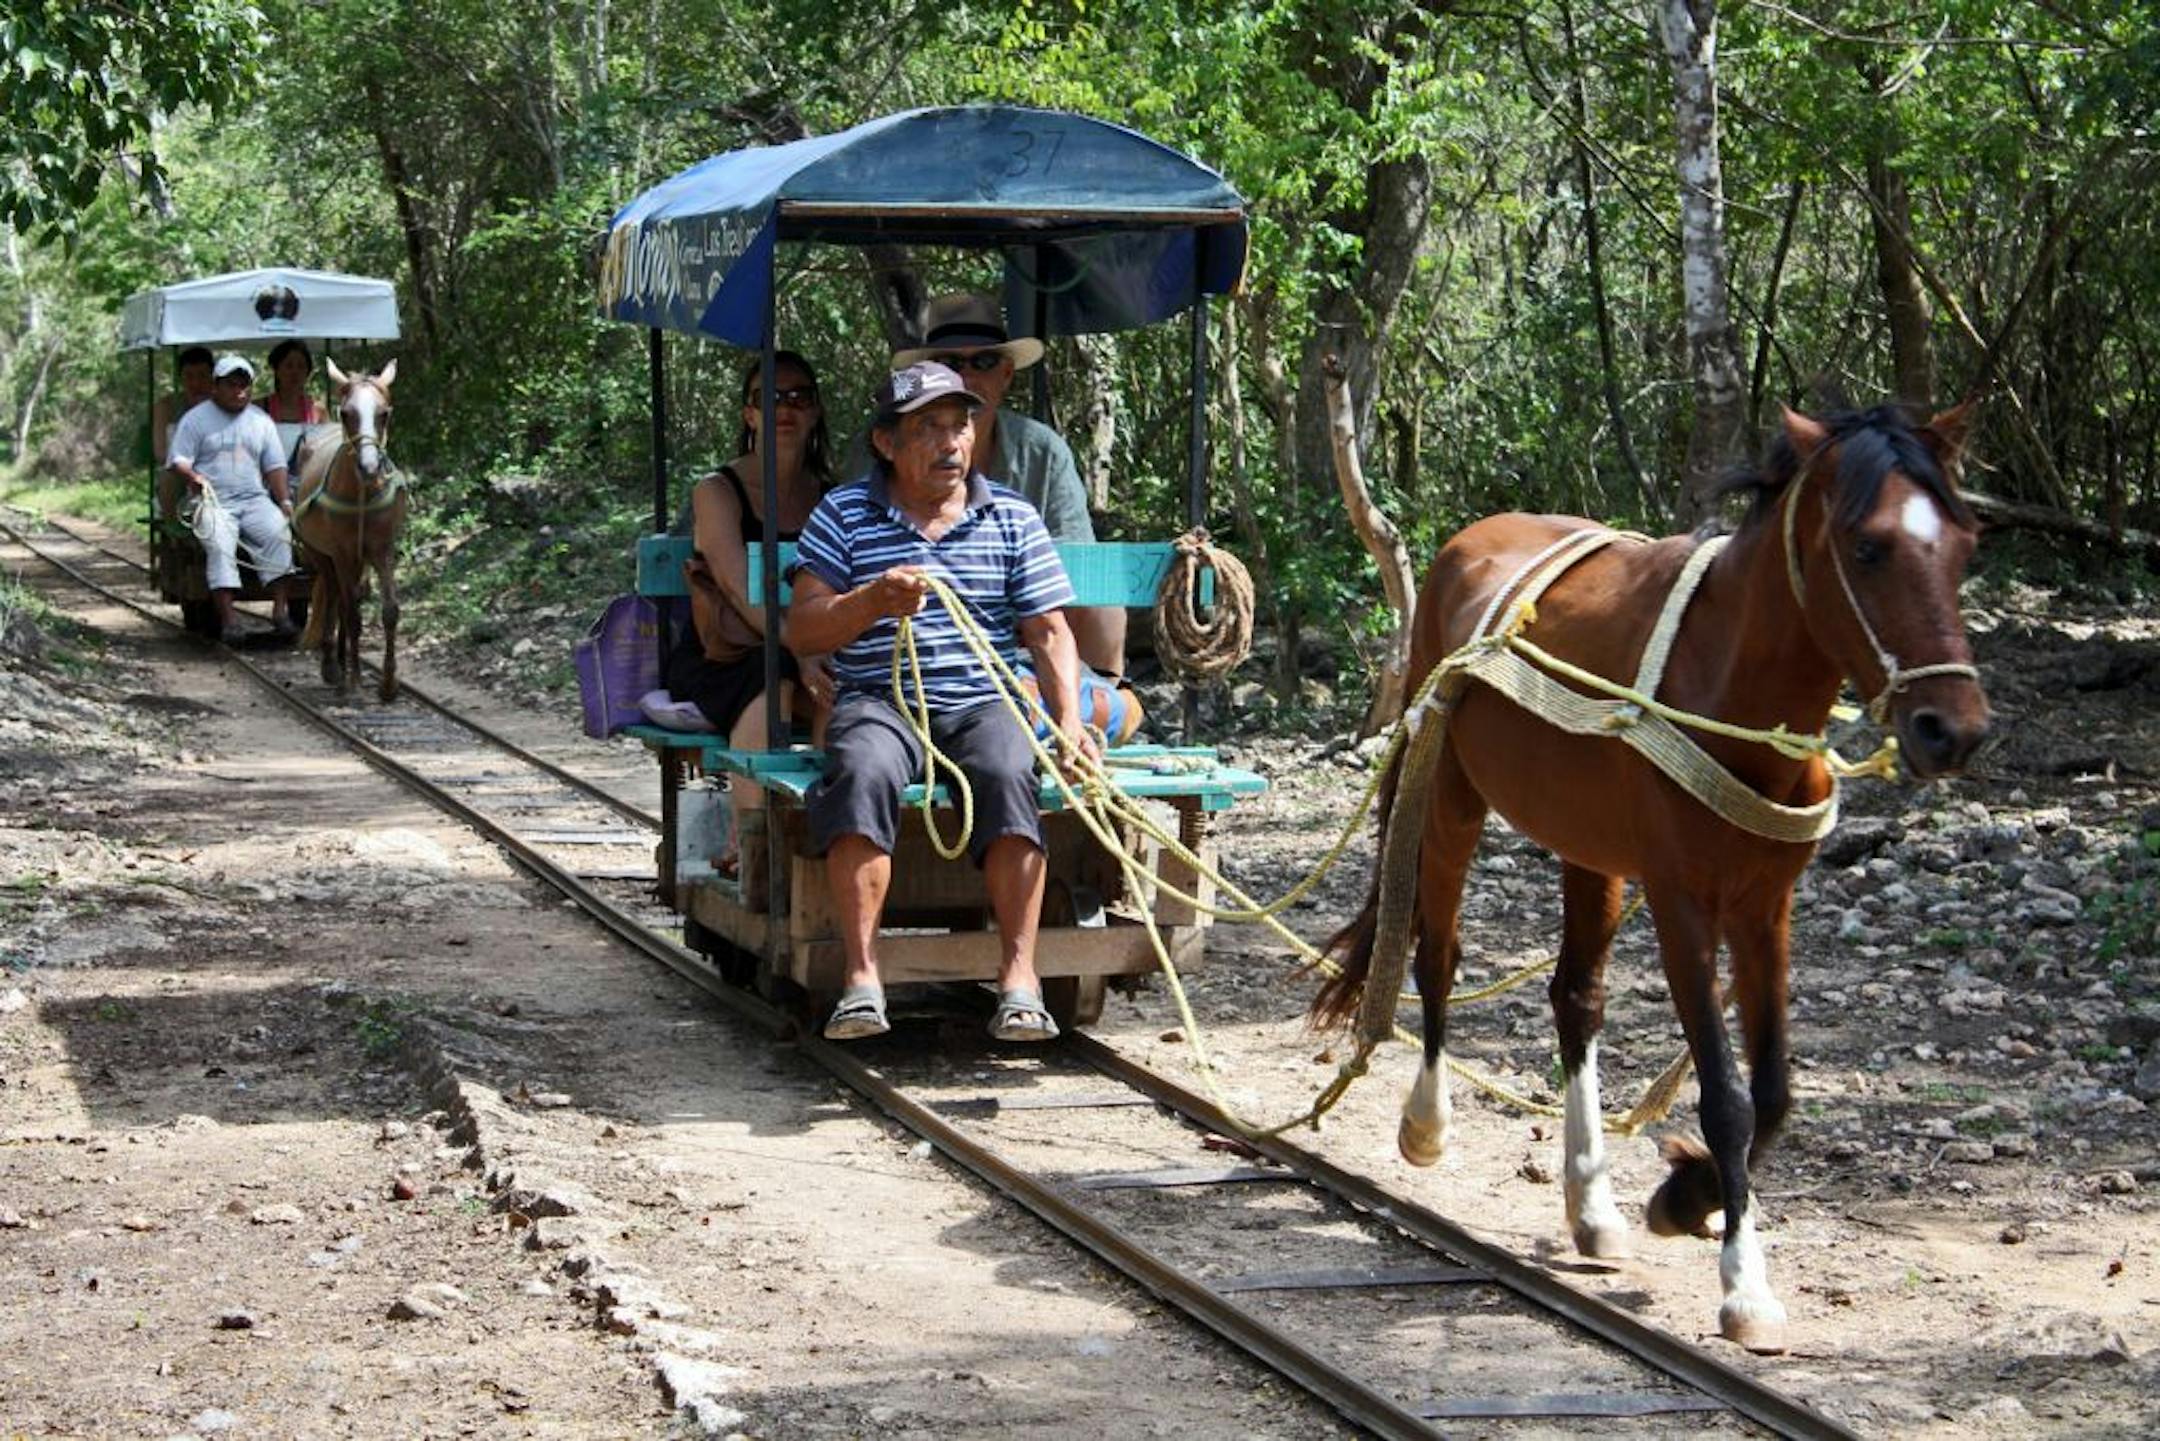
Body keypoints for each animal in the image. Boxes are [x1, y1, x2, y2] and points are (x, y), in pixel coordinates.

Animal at [294, 360, 404, 702]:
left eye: (384, 413)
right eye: (345, 413)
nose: (369, 468)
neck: (362, 495)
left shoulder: (381, 550)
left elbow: (390, 611)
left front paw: (388, 684)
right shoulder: (341, 553)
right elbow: (352, 614)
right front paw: (354, 681)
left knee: (344, 599)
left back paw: (341, 663)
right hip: (321, 554)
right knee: (336, 597)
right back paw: (334, 667)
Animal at [1311, 404, 1990, 1353]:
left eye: (1965, 545)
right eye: (1868, 546)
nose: (1952, 730)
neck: (1733, 691)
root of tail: (1469, 543)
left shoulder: (1765, 907)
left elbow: (1775, 1092)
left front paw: (1684, 1197)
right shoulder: (1681, 904)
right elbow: (1730, 1099)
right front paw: (1744, 1284)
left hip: (1588, 848)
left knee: (1576, 997)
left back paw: (1591, 1204)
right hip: (1448, 800)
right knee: (1436, 951)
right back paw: (1427, 1122)